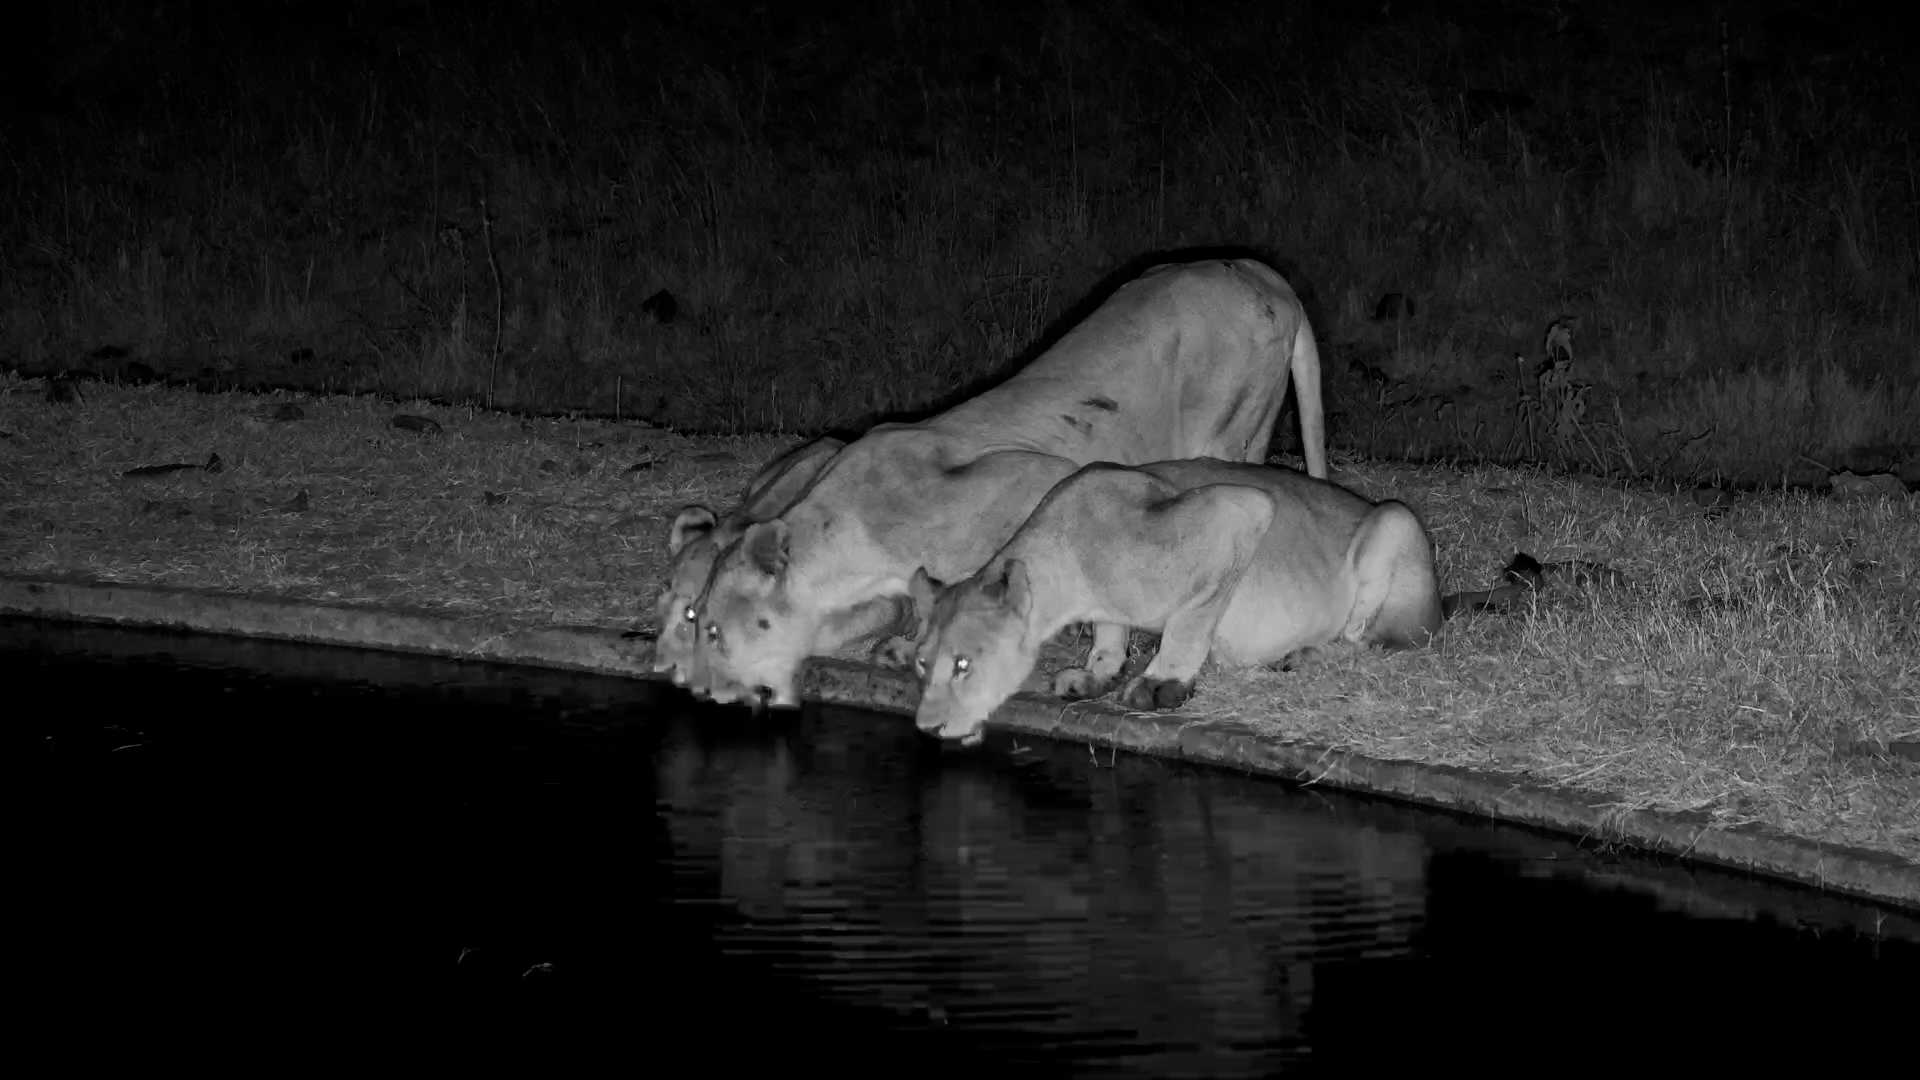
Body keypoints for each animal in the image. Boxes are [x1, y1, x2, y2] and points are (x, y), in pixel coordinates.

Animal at [909, 458, 1443, 745]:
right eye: (921, 663)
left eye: (963, 664)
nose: (927, 727)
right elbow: (1109, 632)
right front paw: (1098, 673)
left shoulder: (1238, 511)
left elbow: (1190, 623)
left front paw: (1161, 682)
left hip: (1393, 522)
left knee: (1368, 642)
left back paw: (1307, 654)